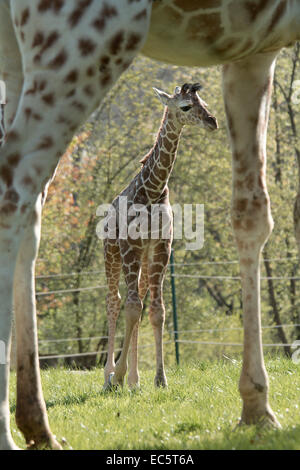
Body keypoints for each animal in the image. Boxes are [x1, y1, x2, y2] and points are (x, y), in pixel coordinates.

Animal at [102, 81, 217, 390]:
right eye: (185, 106)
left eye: (203, 102)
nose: (212, 121)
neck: (152, 190)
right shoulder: (129, 246)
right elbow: (131, 307)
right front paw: (116, 376)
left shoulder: (160, 248)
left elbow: (156, 311)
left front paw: (159, 379)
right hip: (110, 253)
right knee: (114, 302)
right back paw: (108, 375)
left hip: (142, 259)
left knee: (139, 304)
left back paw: (133, 379)